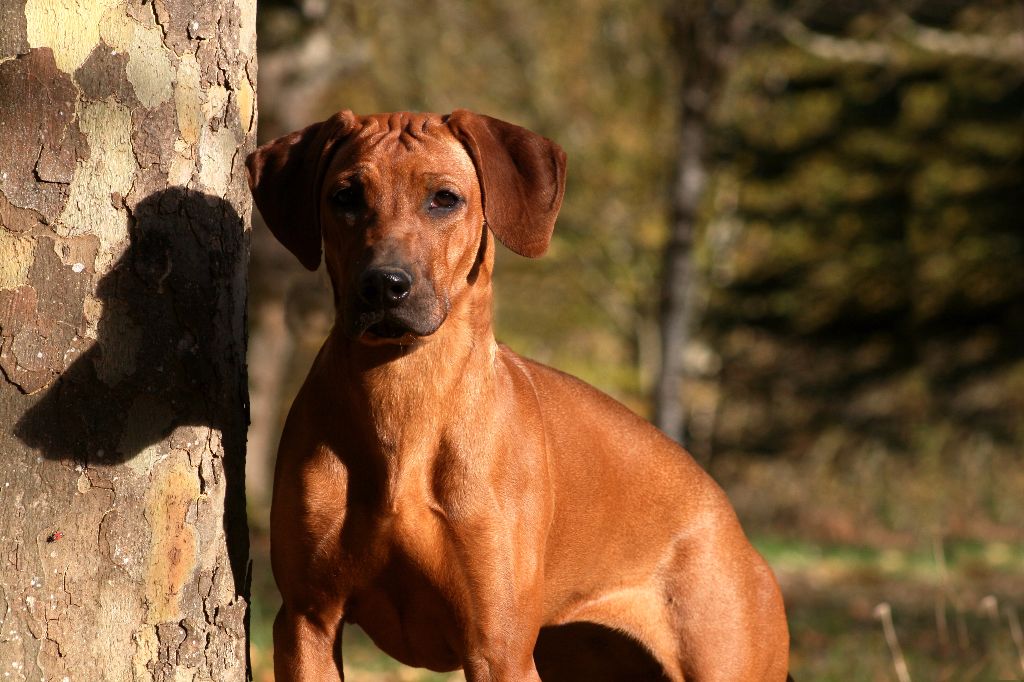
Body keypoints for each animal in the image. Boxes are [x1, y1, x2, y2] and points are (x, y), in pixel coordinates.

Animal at [247, 109, 790, 675]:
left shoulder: (498, 647)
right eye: (346, 197)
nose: (384, 285)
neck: (404, 399)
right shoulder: (307, 620)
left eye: (444, 198)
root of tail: (731, 522)